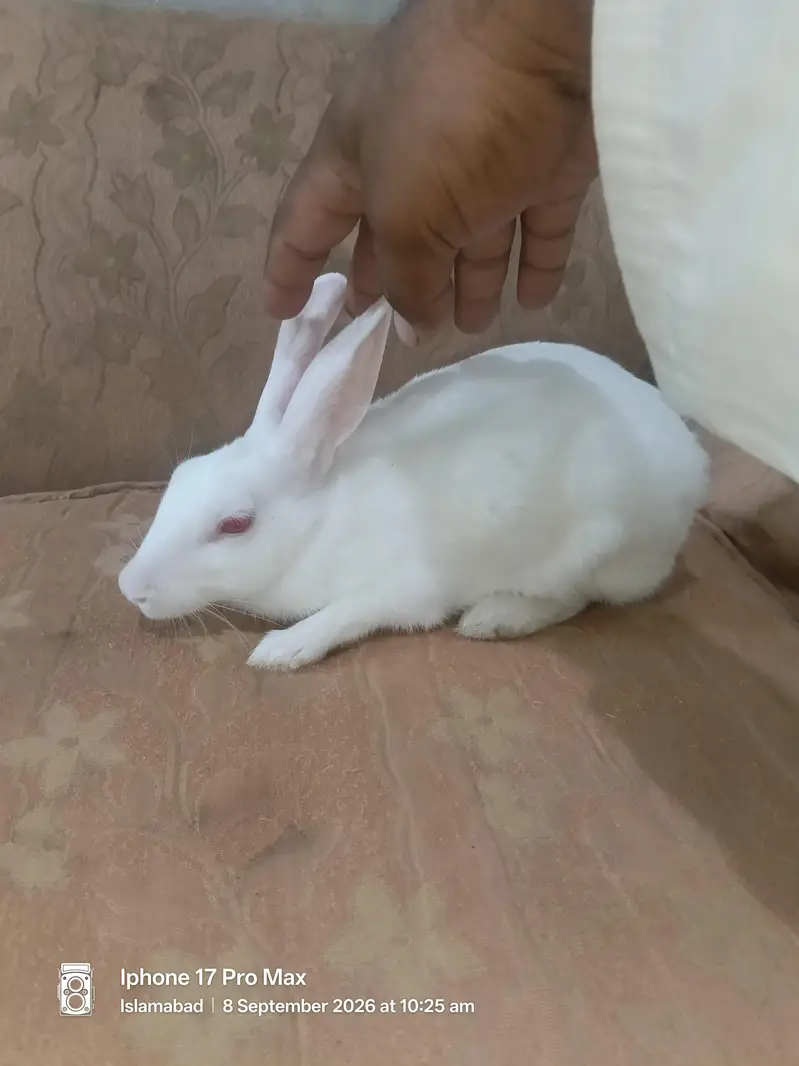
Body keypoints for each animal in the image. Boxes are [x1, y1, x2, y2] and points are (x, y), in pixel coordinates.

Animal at [118, 271, 709, 671]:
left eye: (235, 524)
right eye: (180, 476)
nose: (130, 587)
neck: (321, 520)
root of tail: (691, 458)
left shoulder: (404, 588)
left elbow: (350, 611)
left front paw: (283, 648)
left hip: (594, 548)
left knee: (575, 597)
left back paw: (493, 618)